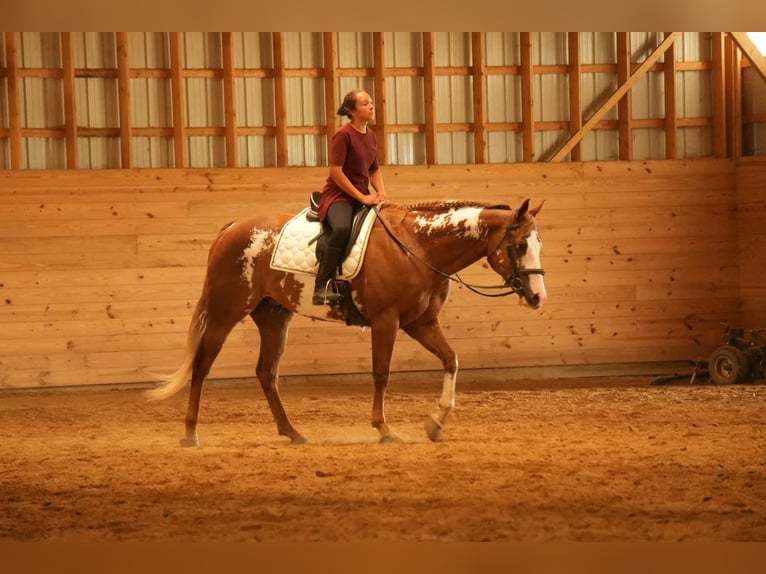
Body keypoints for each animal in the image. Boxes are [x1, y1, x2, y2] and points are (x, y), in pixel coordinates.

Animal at [146, 198, 546, 446]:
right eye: (520, 245)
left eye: (538, 244)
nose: (538, 297)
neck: (418, 246)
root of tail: (231, 229)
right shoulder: (387, 321)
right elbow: (381, 373)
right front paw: (384, 428)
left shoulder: (421, 323)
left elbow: (451, 359)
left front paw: (435, 423)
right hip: (226, 312)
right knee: (202, 366)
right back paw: (191, 434)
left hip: (273, 318)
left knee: (266, 373)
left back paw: (291, 432)